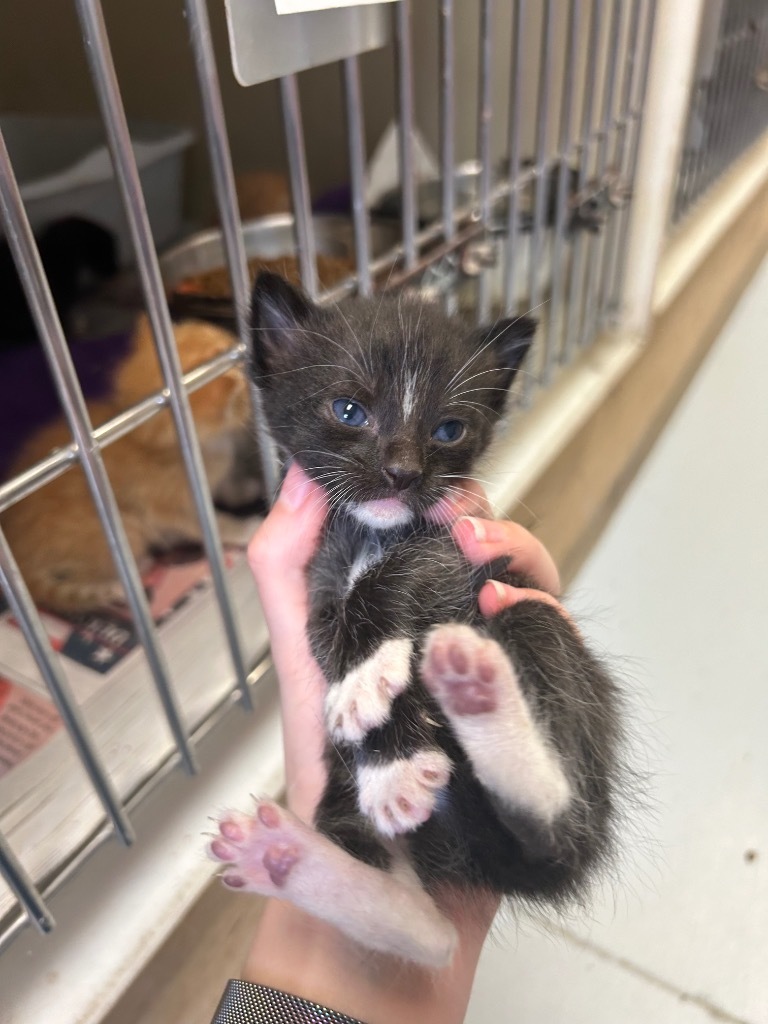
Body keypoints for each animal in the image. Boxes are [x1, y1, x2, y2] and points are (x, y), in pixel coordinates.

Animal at [0, 315, 252, 610]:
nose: (242, 344)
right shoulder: (169, 507)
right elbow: (212, 524)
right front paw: (241, 529)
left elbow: (224, 488)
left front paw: (243, 489)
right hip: (127, 533)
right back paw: (120, 581)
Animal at [207, 272, 622, 966]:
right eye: (349, 410)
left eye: (450, 429)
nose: (402, 472)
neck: (370, 532)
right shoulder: (312, 584)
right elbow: (325, 629)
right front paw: (373, 716)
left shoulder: (459, 548)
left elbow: (394, 578)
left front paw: (367, 696)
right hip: (346, 803)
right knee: (432, 937)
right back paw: (288, 859)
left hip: (533, 619)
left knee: (556, 818)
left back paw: (479, 693)